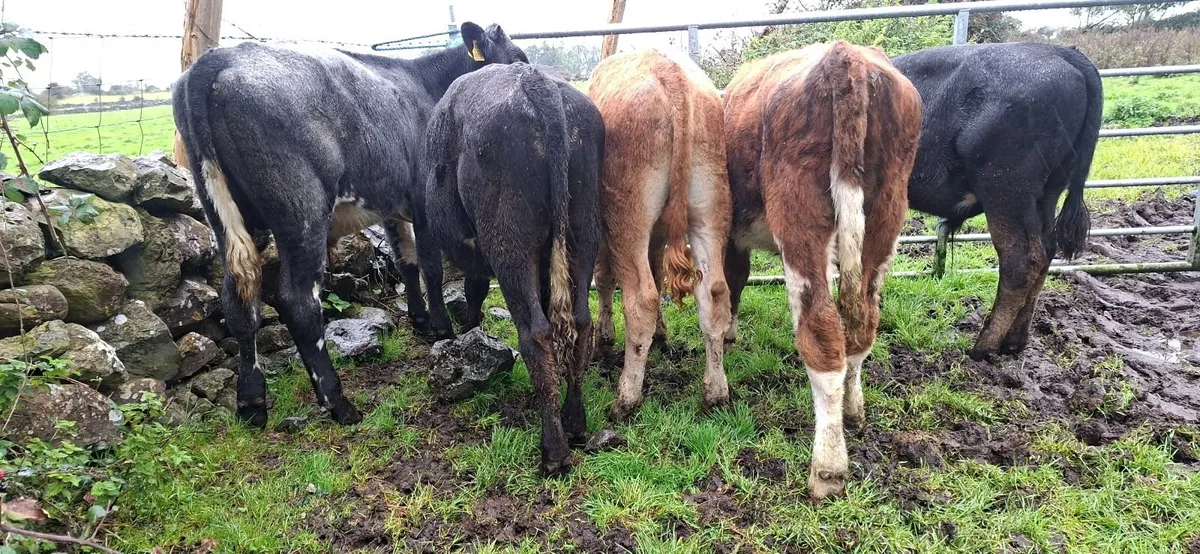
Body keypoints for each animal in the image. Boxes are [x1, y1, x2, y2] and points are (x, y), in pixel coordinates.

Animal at [172, 23, 527, 427]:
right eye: (516, 58)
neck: (429, 86)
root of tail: (217, 58)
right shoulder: (424, 201)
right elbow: (431, 269)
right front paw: (441, 329)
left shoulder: (391, 205)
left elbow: (407, 263)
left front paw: (421, 321)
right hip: (302, 211)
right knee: (298, 302)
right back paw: (338, 402)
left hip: (224, 215)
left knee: (238, 298)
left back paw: (251, 403)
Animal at [423, 63, 603, 475]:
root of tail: (535, 79)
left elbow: (458, 285)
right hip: (583, 232)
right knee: (581, 324)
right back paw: (575, 424)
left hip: (509, 245)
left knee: (536, 334)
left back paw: (554, 452)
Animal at [588, 49, 734, 421]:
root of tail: (672, 74)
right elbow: (655, 270)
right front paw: (662, 335)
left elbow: (604, 278)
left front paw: (604, 339)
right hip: (710, 208)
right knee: (713, 294)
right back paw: (715, 392)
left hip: (628, 217)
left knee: (641, 298)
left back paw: (626, 397)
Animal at [723, 41, 923, 499]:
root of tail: (847, 57)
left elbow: (732, 282)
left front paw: (727, 333)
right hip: (885, 217)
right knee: (862, 329)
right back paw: (853, 411)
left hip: (800, 224)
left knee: (822, 335)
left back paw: (828, 467)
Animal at [891, 43, 1102, 361]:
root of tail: (1060, 50)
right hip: (1046, 193)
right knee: (1046, 251)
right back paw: (1014, 342)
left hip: (1005, 188)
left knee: (1020, 259)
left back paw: (983, 347)